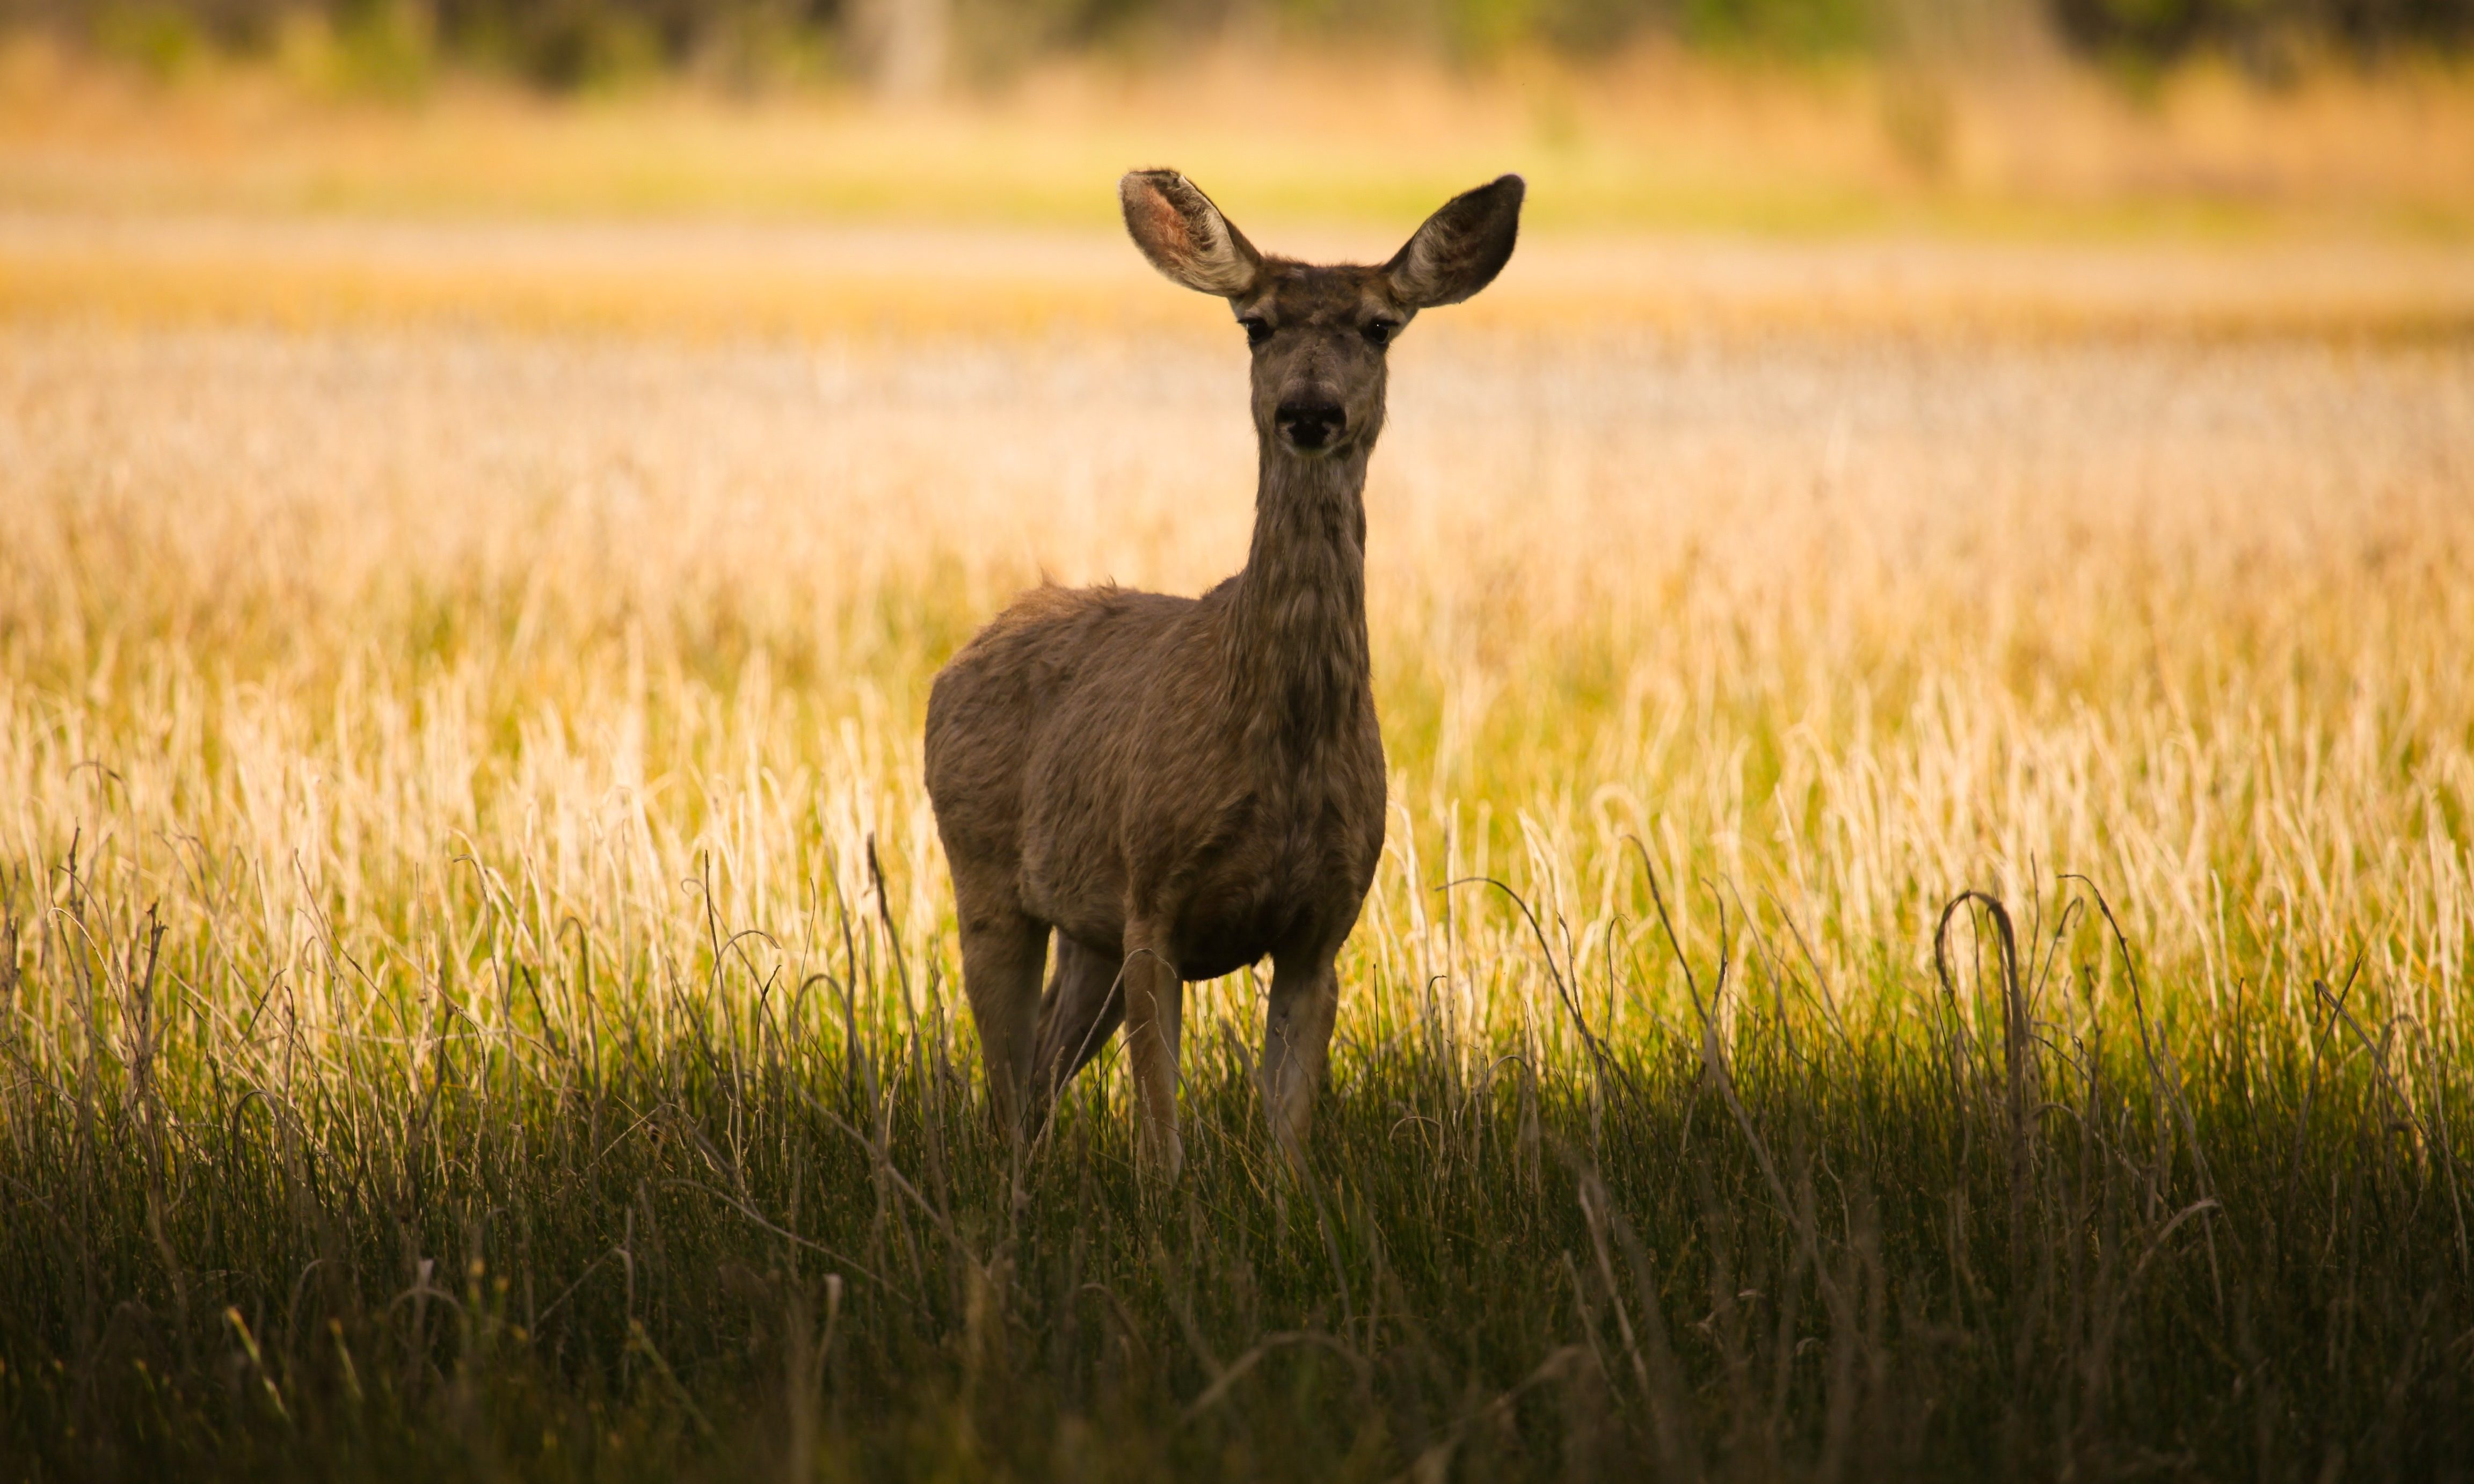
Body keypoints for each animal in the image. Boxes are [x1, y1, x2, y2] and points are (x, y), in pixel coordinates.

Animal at [920, 165, 1514, 1182]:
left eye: (1378, 325)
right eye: (1256, 323)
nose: (1309, 409)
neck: (1280, 744)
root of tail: (959, 658)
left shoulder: (1324, 922)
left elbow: (1287, 1133)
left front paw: (1282, 1201)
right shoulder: (1152, 892)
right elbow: (1159, 1126)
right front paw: (1165, 1202)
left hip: (1088, 930)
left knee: (1039, 1069)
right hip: (986, 867)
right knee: (1003, 1079)